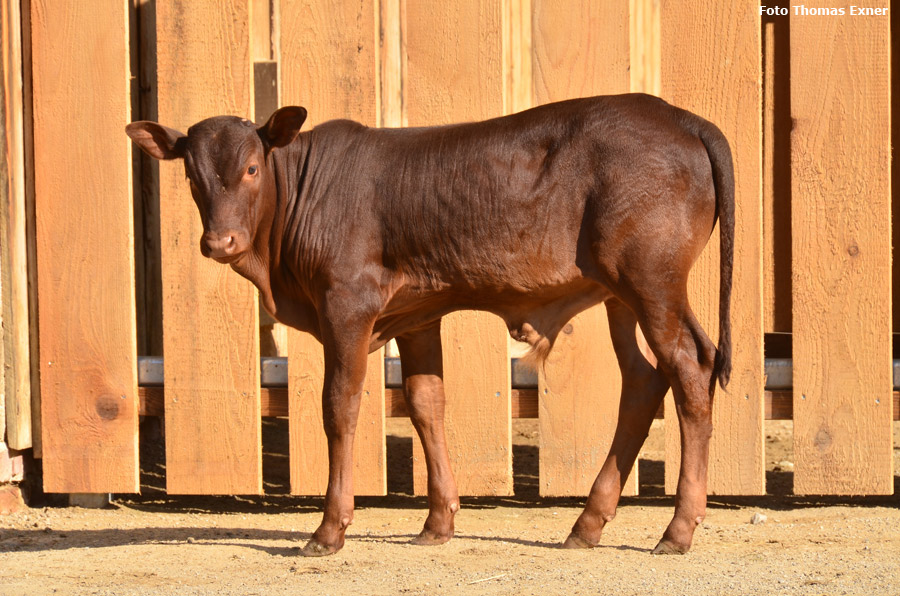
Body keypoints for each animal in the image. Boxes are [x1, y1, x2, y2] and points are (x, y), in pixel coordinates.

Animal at [125, 92, 732, 556]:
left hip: (651, 282)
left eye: (251, 169)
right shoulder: (416, 315)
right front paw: (438, 522)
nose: (219, 242)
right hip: (619, 294)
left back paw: (677, 530)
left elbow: (340, 407)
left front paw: (329, 529)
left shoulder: (348, 302)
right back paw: (587, 524)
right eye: (192, 176)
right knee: (644, 381)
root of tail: (678, 116)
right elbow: (425, 403)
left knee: (689, 369)